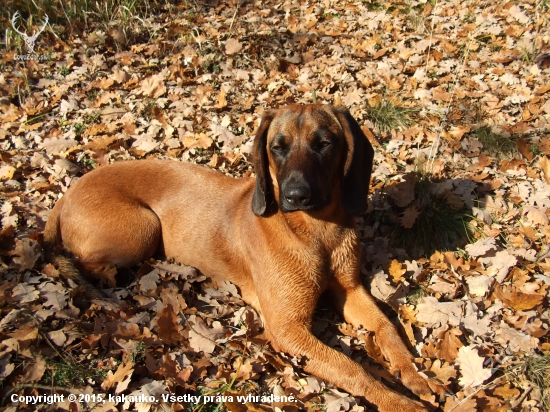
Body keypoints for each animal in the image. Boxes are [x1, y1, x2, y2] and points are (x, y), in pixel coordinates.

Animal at [44, 105, 444, 412]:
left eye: (324, 144)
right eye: (277, 148)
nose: (296, 195)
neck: (317, 232)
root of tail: (66, 195)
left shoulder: (351, 291)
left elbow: (387, 328)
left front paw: (415, 375)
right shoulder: (287, 327)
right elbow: (352, 369)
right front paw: (399, 403)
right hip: (143, 229)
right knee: (81, 262)